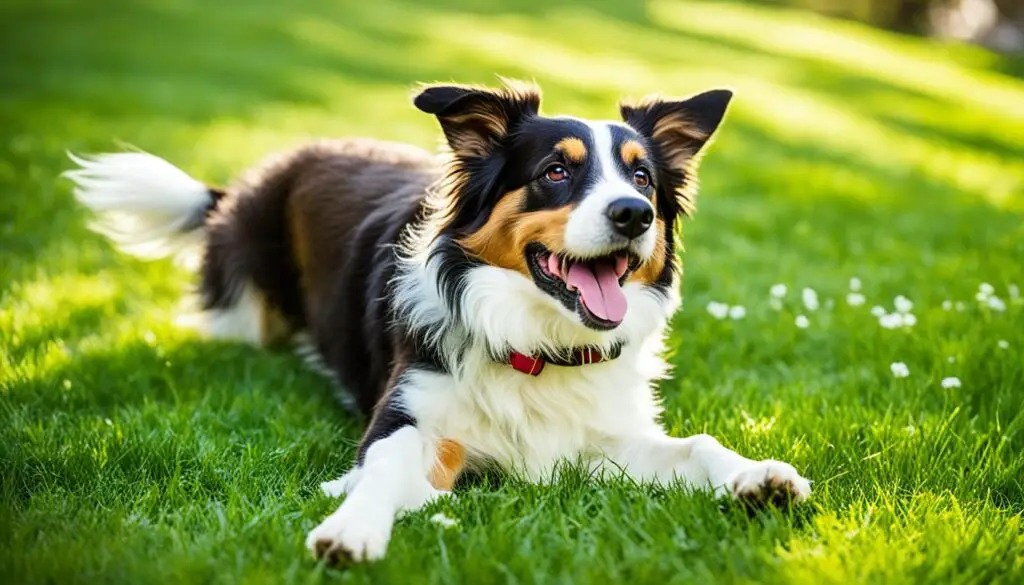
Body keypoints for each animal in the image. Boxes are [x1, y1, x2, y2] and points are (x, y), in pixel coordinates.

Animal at [68, 81, 811, 561]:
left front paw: (759, 476)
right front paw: (355, 525)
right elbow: (386, 465)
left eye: (644, 179)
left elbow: (698, 445)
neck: (535, 344)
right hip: (247, 303)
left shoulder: (603, 439)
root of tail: (257, 178)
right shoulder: (407, 413)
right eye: (555, 172)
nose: (635, 214)